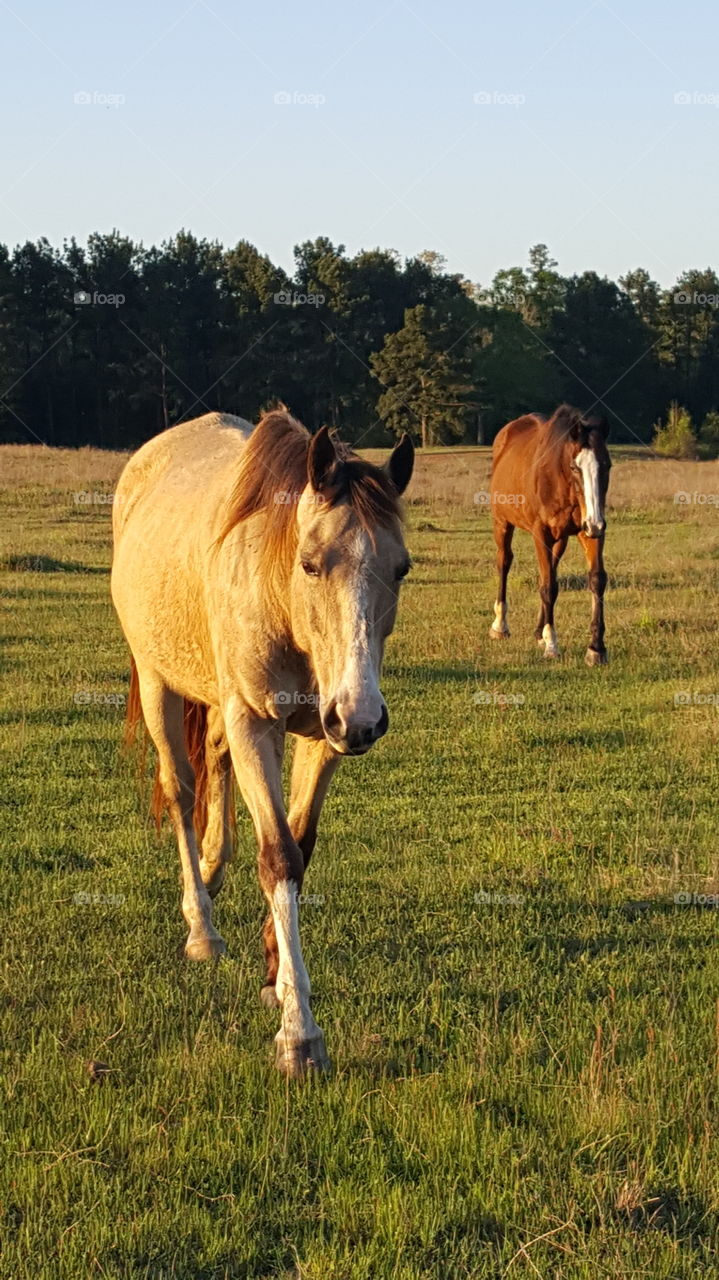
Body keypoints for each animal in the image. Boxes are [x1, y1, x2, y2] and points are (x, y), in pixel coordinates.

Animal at [111, 409, 414, 1076]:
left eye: (401, 568)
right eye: (312, 563)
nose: (364, 718)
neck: (283, 601)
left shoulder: (324, 736)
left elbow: (299, 847)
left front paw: (278, 972)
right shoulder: (255, 721)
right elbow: (277, 855)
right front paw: (299, 1034)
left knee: (215, 765)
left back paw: (213, 867)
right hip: (159, 683)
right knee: (181, 791)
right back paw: (201, 925)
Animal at [488, 404, 611, 664]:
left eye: (607, 465)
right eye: (575, 467)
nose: (596, 523)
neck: (558, 480)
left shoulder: (587, 532)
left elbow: (595, 580)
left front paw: (596, 648)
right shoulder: (541, 533)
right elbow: (549, 587)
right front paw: (552, 645)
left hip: (560, 540)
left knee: (548, 572)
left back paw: (538, 631)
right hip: (502, 523)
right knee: (504, 562)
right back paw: (500, 626)